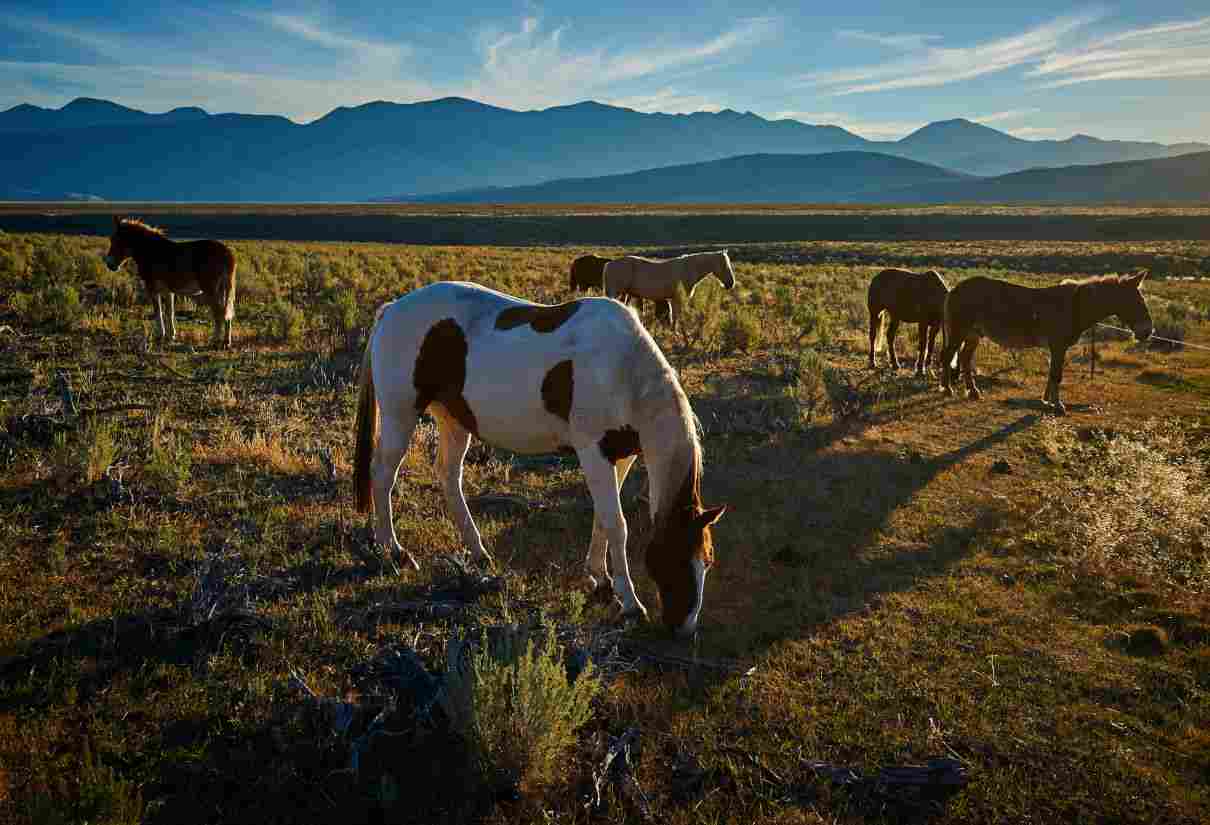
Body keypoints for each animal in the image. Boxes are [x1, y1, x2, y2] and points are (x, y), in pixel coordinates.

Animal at [105, 215, 237, 345]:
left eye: (115, 240)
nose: (109, 265)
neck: (150, 251)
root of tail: (227, 252)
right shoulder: (169, 291)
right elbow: (170, 312)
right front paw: (171, 335)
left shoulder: (152, 288)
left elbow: (158, 311)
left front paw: (161, 335)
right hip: (222, 290)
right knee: (227, 313)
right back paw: (226, 341)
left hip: (211, 290)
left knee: (219, 313)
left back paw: (215, 339)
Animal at [350, 279, 726, 633]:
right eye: (675, 557)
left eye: (707, 560)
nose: (683, 629)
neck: (624, 371)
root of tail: (391, 309)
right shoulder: (594, 451)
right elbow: (617, 525)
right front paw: (630, 602)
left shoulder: (622, 456)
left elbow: (603, 518)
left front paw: (599, 578)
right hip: (401, 415)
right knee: (383, 475)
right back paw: (394, 551)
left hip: (454, 419)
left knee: (448, 476)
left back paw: (478, 552)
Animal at [605, 249, 735, 329]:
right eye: (724, 265)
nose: (731, 283)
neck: (688, 268)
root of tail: (609, 264)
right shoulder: (677, 299)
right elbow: (677, 316)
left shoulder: (673, 299)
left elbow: (674, 316)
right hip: (615, 293)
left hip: (624, 294)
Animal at [934, 270, 1151, 413]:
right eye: (1136, 302)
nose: (1148, 332)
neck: (1075, 306)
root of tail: (954, 289)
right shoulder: (1058, 346)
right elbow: (1056, 375)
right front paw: (1057, 405)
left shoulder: (1056, 348)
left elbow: (1052, 373)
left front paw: (1046, 400)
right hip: (960, 331)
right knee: (947, 356)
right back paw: (947, 389)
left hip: (973, 334)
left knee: (963, 357)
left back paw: (973, 392)